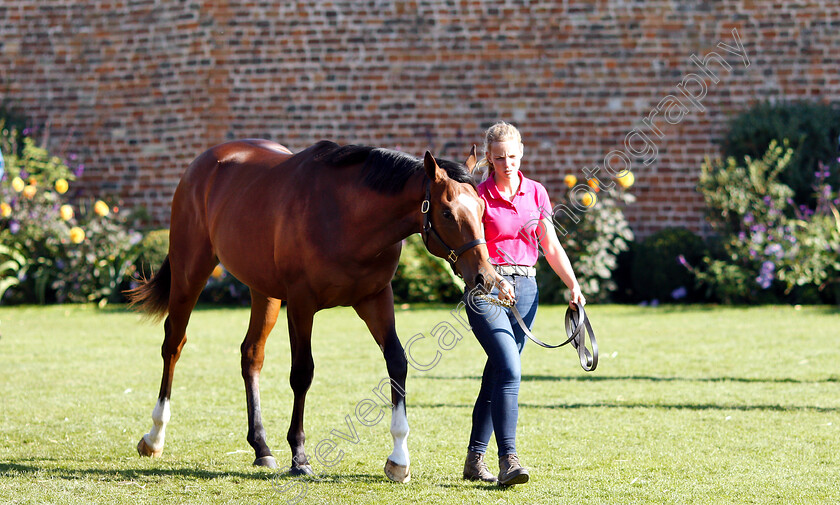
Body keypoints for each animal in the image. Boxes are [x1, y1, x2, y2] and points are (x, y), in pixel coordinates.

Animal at [126, 137, 498, 480]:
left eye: (482, 210)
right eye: (447, 212)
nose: (485, 276)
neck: (346, 215)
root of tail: (204, 162)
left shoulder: (376, 298)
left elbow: (397, 363)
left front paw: (399, 459)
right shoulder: (302, 304)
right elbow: (302, 373)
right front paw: (300, 456)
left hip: (264, 292)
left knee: (251, 354)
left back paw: (261, 447)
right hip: (191, 271)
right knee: (173, 344)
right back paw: (155, 436)